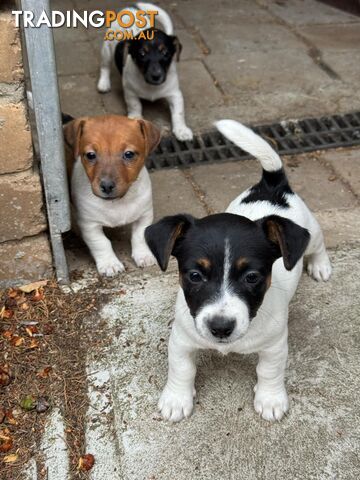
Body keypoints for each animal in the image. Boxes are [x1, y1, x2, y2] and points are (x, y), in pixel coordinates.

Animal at [63, 114, 160, 276]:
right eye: (90, 155)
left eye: (129, 154)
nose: (107, 186)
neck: (118, 202)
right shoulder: (89, 224)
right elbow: (101, 243)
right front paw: (110, 263)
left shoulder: (144, 215)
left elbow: (139, 236)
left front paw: (144, 256)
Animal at [96, 1, 194, 142]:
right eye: (142, 54)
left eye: (165, 53)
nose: (156, 76)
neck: (151, 87)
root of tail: (131, 8)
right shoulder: (130, 91)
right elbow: (135, 105)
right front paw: (136, 118)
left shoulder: (175, 94)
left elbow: (178, 113)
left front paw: (182, 130)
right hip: (107, 50)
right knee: (105, 67)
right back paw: (104, 83)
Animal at [146, 121, 332, 424]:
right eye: (195, 276)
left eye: (252, 277)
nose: (221, 328)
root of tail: (272, 186)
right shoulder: (181, 340)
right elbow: (182, 369)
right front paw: (176, 399)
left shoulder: (275, 345)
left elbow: (269, 371)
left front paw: (270, 399)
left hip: (311, 234)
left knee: (318, 244)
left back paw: (321, 265)